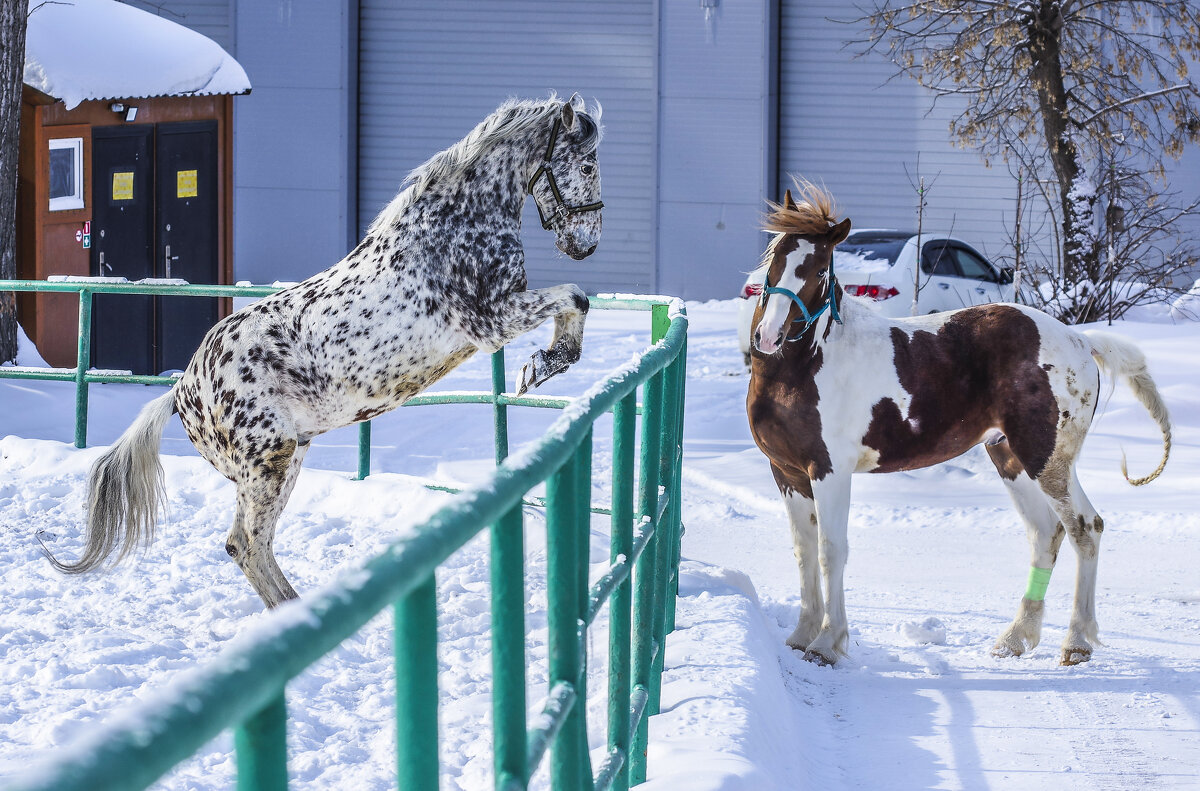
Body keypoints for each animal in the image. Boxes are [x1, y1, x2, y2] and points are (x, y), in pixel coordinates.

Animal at [46, 96, 604, 609]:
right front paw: (540, 367)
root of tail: (183, 391)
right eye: (588, 166)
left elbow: (573, 300)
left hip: (283, 460)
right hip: (268, 463)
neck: (455, 225)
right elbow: (575, 296)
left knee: (247, 544)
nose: (587, 245)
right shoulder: (491, 321)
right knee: (248, 545)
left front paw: (542, 366)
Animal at [748, 181, 1171, 667]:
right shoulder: (788, 473)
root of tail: (1080, 340)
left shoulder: (829, 471)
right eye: (776, 257)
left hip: (1048, 460)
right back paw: (1015, 638)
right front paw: (801, 635)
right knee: (1046, 532)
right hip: (1010, 457)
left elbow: (831, 551)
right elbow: (804, 550)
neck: (801, 369)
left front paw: (827, 644)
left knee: (1085, 528)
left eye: (819, 270)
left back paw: (1076, 643)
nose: (768, 337)